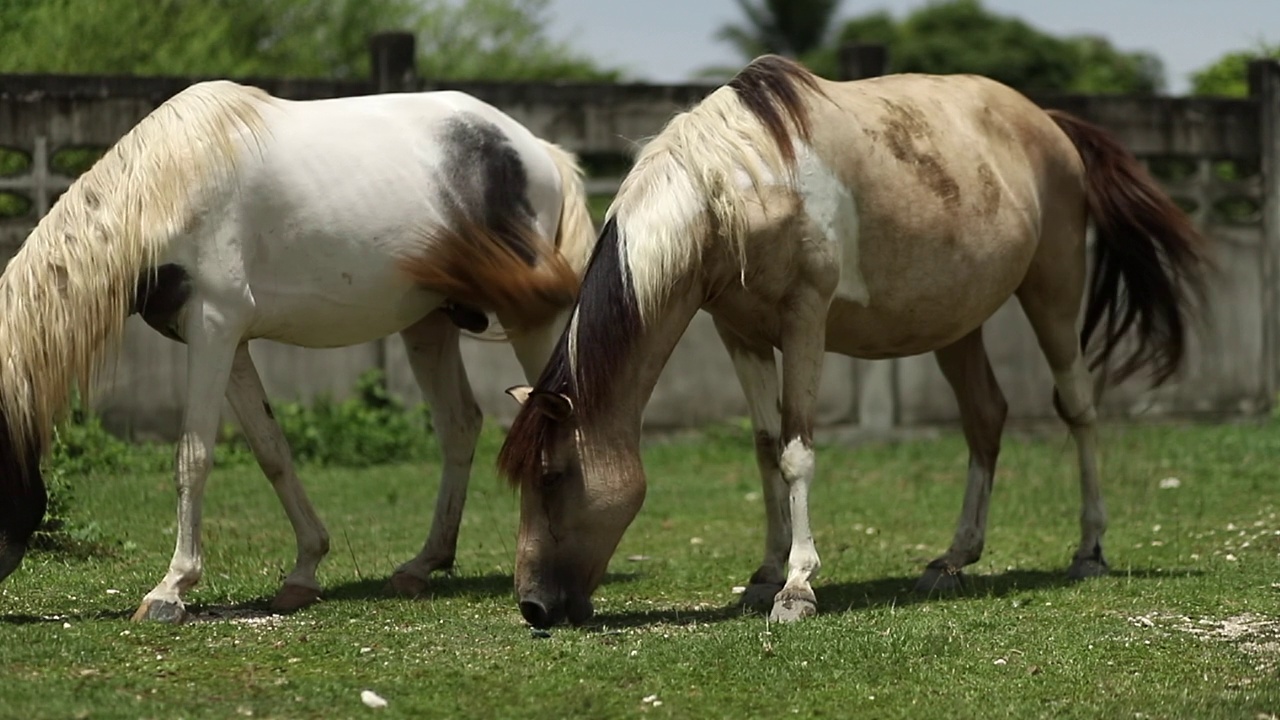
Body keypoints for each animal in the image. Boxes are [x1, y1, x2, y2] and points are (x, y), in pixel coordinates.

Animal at [0, 78, 593, 620]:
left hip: (530, 317)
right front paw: (305, 570)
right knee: (459, 425)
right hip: (430, 323)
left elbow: (192, 455)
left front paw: (170, 589)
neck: (170, 186)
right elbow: (272, 452)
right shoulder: (229, 342)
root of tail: (538, 150)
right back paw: (421, 566)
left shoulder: (213, 328)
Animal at [494, 56, 1203, 625]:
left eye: (553, 476)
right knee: (985, 417)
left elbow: (796, 452)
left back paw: (1089, 550)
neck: (734, 183)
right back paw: (953, 559)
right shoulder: (736, 330)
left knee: (1078, 409)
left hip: (1053, 288)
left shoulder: (804, 318)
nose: (533, 605)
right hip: (955, 321)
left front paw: (797, 588)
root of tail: (1050, 123)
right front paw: (764, 574)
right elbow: (763, 448)